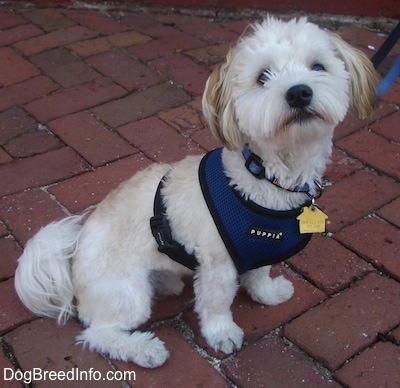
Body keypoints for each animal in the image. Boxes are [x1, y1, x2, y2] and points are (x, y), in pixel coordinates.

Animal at [14, 16, 378, 368]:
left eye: (318, 66)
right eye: (263, 77)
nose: (299, 93)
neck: (263, 176)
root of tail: (73, 252)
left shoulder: (257, 249)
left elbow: (259, 275)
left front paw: (267, 294)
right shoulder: (217, 264)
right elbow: (216, 303)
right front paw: (222, 334)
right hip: (125, 293)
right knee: (98, 333)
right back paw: (144, 350)